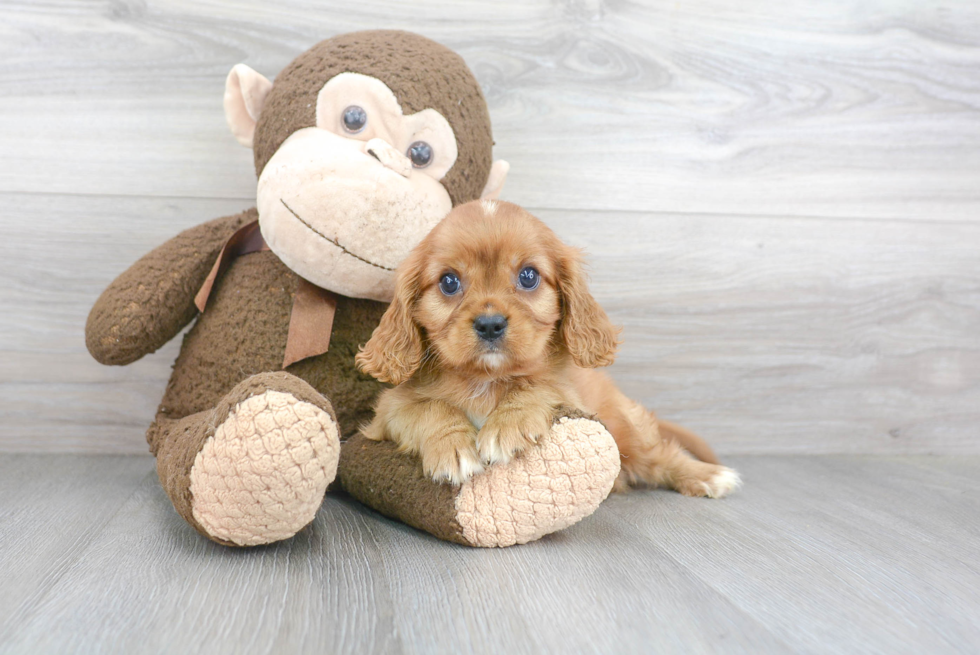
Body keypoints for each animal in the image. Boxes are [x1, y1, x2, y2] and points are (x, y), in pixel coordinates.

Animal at [356, 200, 740, 498]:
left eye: (528, 276)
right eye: (449, 282)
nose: (490, 324)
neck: (485, 380)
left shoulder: (572, 396)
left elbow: (536, 384)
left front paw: (507, 423)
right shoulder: (388, 411)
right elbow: (430, 408)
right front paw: (453, 446)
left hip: (628, 430)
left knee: (659, 456)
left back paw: (708, 475)